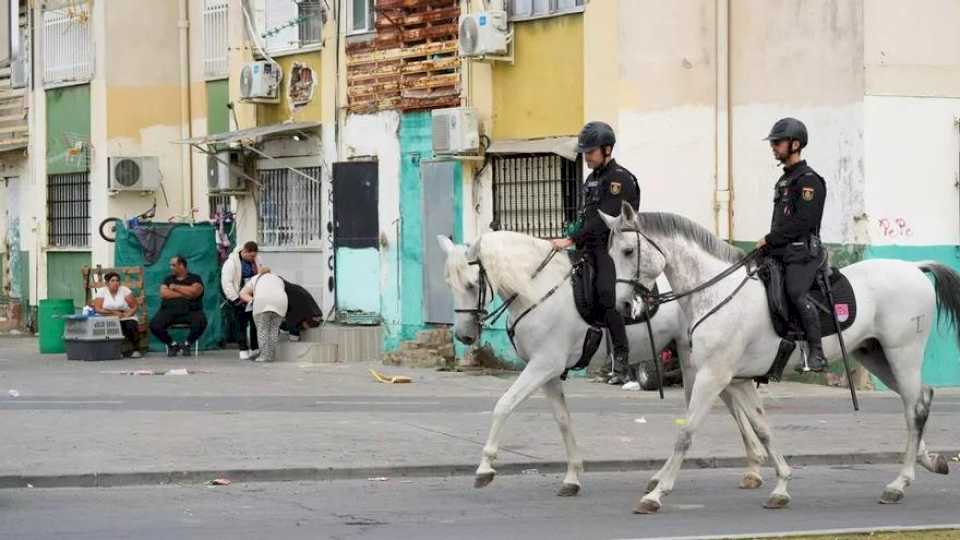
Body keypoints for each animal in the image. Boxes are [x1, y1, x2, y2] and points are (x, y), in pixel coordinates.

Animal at [438, 234, 776, 496]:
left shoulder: (543, 365)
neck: (539, 290)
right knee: (732, 403)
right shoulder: (548, 372)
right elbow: (563, 420)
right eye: (449, 284)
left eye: (472, 284)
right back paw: (752, 467)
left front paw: (485, 468)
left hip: (700, 361)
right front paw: (572, 477)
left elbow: (503, 405)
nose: (464, 336)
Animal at [604, 205, 956, 512]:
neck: (717, 293)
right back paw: (928, 462)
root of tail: (914, 268)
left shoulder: (713, 376)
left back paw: (899, 484)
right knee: (921, 398)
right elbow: (763, 429)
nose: (622, 306)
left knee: (914, 409)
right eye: (610, 255)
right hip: (876, 356)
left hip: (903, 354)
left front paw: (657, 494)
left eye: (628, 252)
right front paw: (782, 486)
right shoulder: (738, 380)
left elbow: (686, 433)